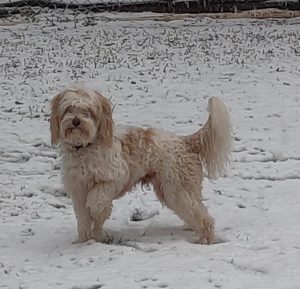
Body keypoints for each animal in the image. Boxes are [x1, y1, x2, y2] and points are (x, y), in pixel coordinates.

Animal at [49, 85, 232, 243]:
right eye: (69, 109)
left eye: (87, 111)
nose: (76, 121)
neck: (85, 148)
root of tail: (184, 141)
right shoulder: (78, 190)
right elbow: (85, 218)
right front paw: (88, 239)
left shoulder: (115, 178)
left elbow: (98, 199)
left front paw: (96, 213)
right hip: (170, 189)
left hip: (178, 190)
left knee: (204, 217)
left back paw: (205, 239)